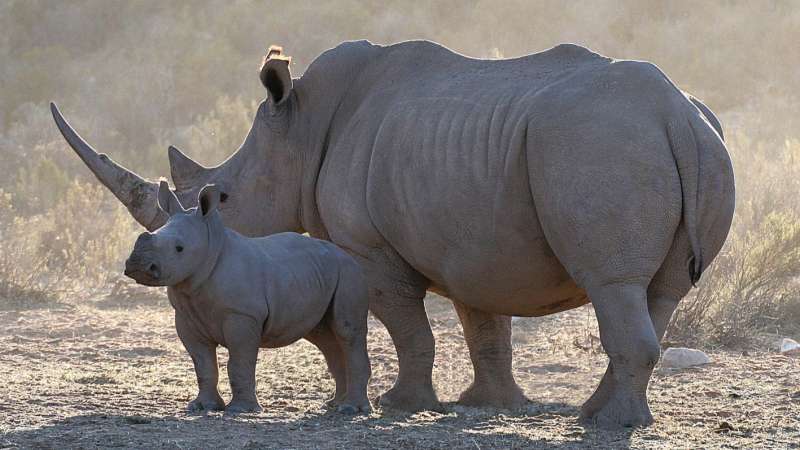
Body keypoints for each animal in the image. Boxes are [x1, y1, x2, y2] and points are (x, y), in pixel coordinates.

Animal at [124, 180, 371, 414]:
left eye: (179, 248)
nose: (137, 265)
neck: (211, 249)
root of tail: (345, 255)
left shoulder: (242, 315)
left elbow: (239, 363)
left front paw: (240, 409)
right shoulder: (186, 317)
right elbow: (203, 365)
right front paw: (202, 406)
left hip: (348, 273)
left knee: (347, 332)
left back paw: (351, 409)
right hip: (317, 275)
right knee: (324, 337)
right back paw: (334, 404)